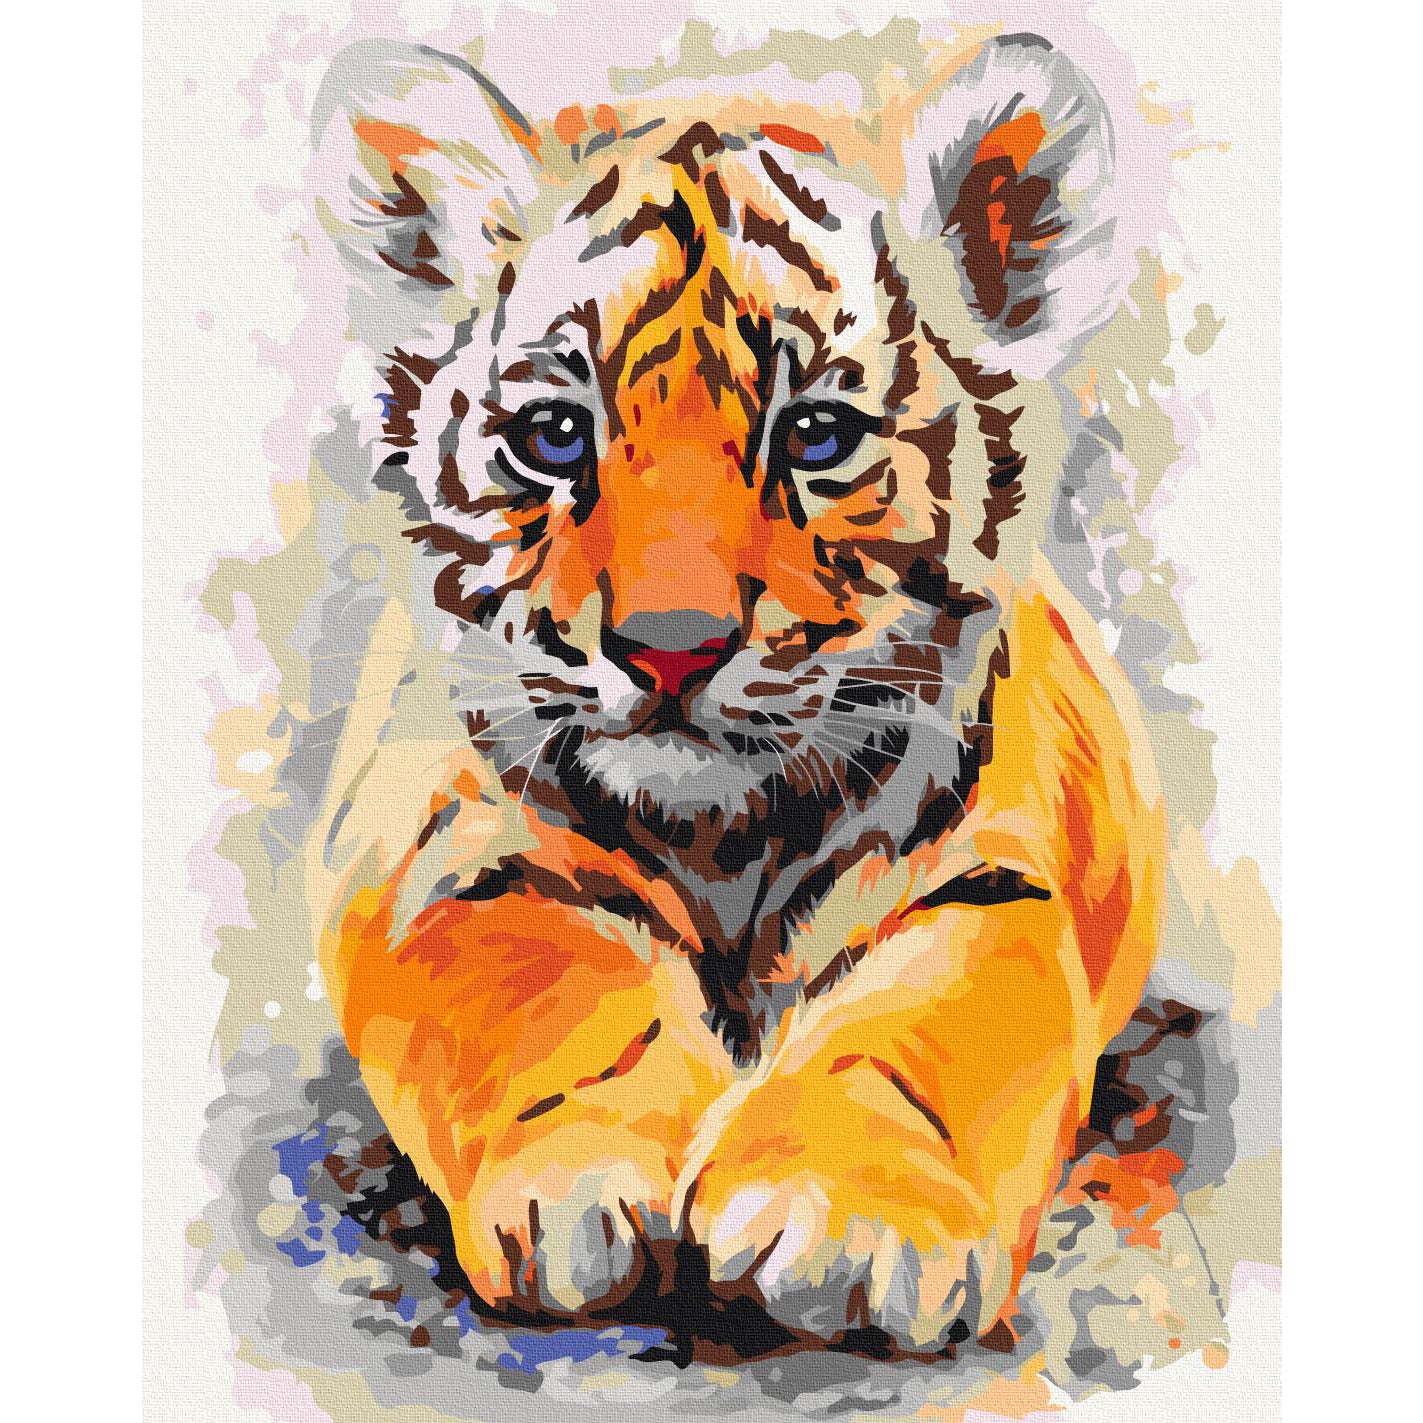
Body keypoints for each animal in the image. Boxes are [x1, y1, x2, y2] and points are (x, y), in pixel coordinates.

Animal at [303, 29, 1166, 1356]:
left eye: (814, 436)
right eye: (555, 436)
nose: (670, 648)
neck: (723, 837)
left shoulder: (990, 870)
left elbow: (918, 1035)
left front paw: (854, 1221)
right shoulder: (438, 847)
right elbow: (550, 985)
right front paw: (591, 1180)